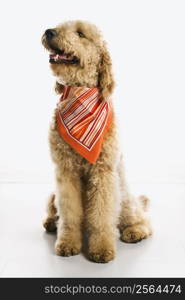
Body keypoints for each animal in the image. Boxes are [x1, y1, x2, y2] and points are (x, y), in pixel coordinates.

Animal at [41, 20, 151, 262]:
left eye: (81, 34)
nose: (49, 32)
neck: (79, 94)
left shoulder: (103, 173)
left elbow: (101, 215)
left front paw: (101, 249)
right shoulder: (65, 173)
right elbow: (69, 214)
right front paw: (67, 243)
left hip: (124, 196)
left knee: (142, 219)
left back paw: (135, 231)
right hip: (53, 195)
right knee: (53, 211)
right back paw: (50, 222)